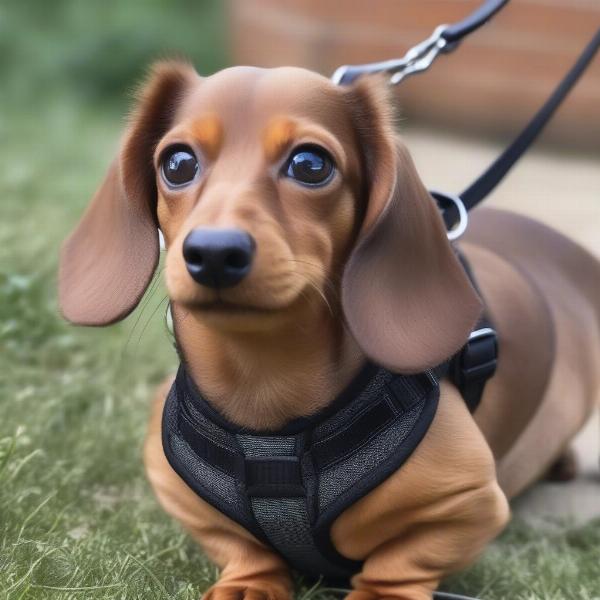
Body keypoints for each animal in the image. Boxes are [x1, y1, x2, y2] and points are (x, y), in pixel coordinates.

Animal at [57, 63, 600, 596]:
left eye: (310, 165)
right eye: (177, 164)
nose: (213, 253)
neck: (265, 393)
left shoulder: (469, 503)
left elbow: (398, 562)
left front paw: (380, 593)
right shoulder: (176, 489)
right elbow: (239, 545)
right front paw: (249, 582)